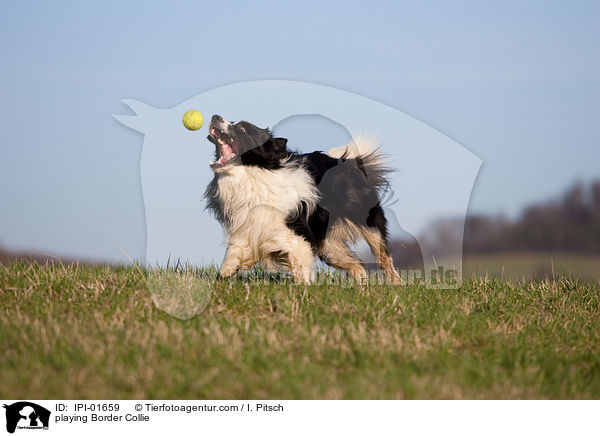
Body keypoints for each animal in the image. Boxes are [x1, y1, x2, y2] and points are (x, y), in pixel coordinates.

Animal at [204, 114, 400, 284]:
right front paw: (224, 276)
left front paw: (302, 290)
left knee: (384, 258)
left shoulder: (297, 233)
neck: (254, 174)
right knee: (357, 266)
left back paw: (395, 285)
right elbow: (233, 253)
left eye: (243, 128)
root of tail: (349, 163)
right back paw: (361, 288)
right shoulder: (248, 227)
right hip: (328, 245)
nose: (215, 116)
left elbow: (300, 265)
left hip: (367, 222)